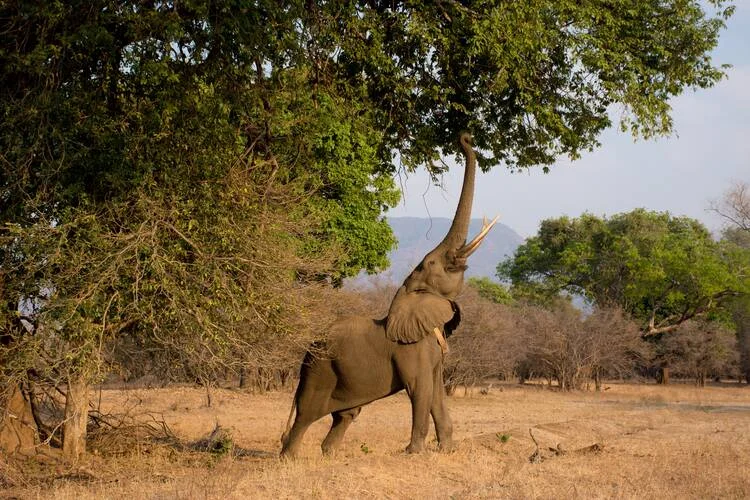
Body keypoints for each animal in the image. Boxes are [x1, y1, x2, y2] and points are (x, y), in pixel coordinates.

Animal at [280, 132, 496, 458]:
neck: (407, 294)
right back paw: (290, 460)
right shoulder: (411, 349)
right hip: (318, 369)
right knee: (307, 413)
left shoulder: (431, 350)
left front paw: (446, 450)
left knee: (345, 415)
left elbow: (436, 393)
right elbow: (421, 390)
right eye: (432, 264)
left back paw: (329, 455)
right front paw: (414, 453)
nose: (465, 136)